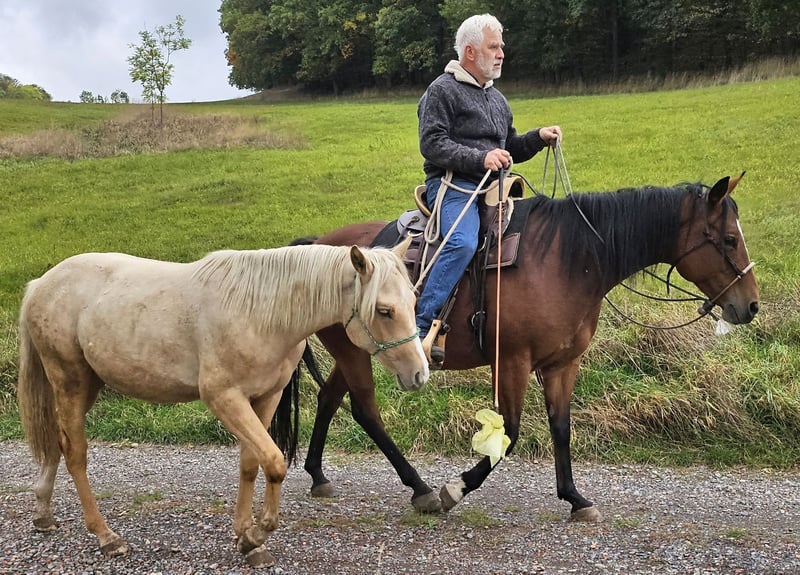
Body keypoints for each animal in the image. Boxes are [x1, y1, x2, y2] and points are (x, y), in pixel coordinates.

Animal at [16, 241, 428, 568]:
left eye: (412, 301)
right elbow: (274, 463)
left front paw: (246, 537)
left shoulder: (264, 398)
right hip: (69, 382)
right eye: (385, 310)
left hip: (87, 385)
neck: (261, 311)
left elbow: (250, 464)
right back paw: (106, 536)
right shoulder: (224, 398)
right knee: (75, 452)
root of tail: (41, 285)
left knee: (57, 442)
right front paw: (257, 535)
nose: (420, 373)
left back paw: (43, 514)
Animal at [295, 174, 759, 519]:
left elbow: (561, 427)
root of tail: (317, 244)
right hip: (355, 352)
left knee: (330, 397)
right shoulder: (513, 361)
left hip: (354, 350)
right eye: (729, 240)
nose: (751, 305)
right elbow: (511, 433)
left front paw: (575, 498)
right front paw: (454, 490)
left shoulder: (562, 364)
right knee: (365, 409)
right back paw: (422, 488)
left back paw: (318, 475)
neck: (570, 261)